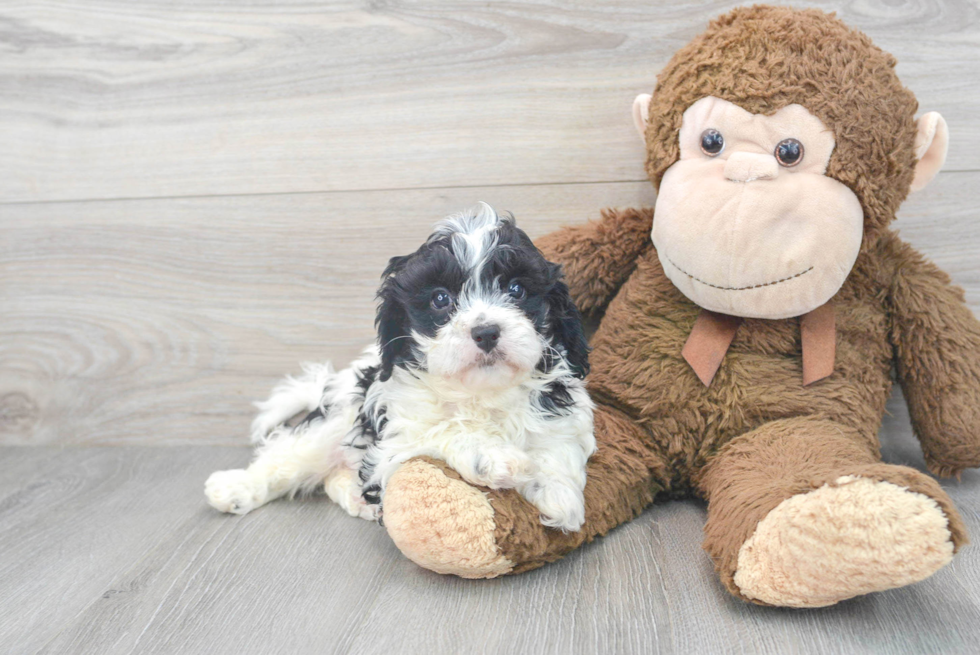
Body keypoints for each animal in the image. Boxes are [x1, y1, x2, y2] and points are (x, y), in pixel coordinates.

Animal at [203, 205, 592, 532]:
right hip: (335, 420)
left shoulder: (561, 416)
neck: (480, 394)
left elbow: (560, 447)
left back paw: (356, 498)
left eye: (516, 289)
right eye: (440, 299)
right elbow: (440, 431)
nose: (485, 332)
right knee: (286, 458)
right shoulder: (391, 447)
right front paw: (494, 457)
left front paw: (556, 490)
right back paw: (234, 487)